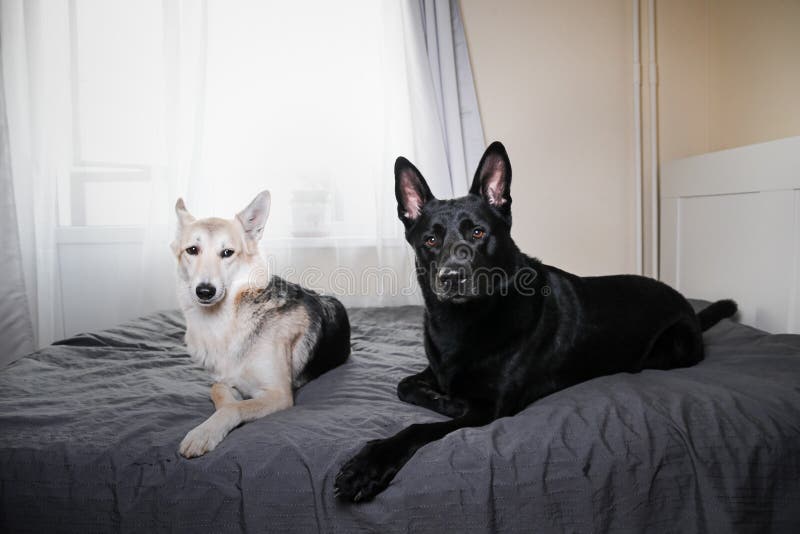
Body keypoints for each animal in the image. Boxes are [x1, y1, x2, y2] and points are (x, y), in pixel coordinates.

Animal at [332, 140, 736, 504]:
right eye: (430, 239)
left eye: (478, 232)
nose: (452, 277)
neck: (464, 322)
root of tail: (687, 305)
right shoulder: (436, 371)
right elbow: (405, 386)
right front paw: (439, 397)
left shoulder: (488, 410)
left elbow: (417, 429)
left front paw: (367, 465)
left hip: (671, 347)